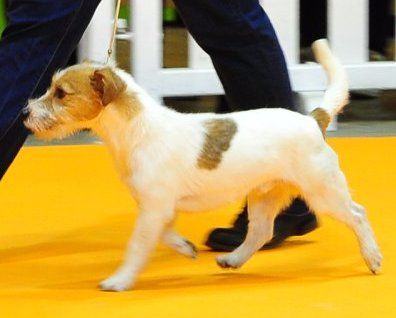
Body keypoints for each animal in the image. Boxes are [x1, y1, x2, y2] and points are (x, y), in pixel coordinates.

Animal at [24, 39, 380, 290]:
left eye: (61, 93)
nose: (25, 112)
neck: (138, 129)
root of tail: (312, 119)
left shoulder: (154, 207)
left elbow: (138, 245)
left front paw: (119, 280)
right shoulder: (158, 207)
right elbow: (165, 233)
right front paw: (184, 247)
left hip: (323, 190)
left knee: (358, 214)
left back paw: (373, 258)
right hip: (264, 194)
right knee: (261, 231)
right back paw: (234, 258)